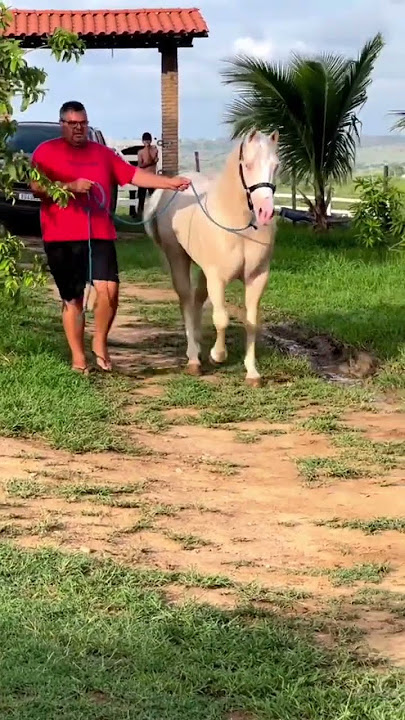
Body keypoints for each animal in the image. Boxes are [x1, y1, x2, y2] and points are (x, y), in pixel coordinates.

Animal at [144, 129, 279, 386]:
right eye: (247, 165)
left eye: (276, 165)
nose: (265, 212)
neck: (237, 224)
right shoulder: (218, 278)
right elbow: (222, 318)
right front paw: (218, 355)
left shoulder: (257, 278)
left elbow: (251, 323)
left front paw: (252, 373)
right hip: (178, 258)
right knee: (186, 301)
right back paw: (193, 359)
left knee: (197, 300)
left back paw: (197, 346)